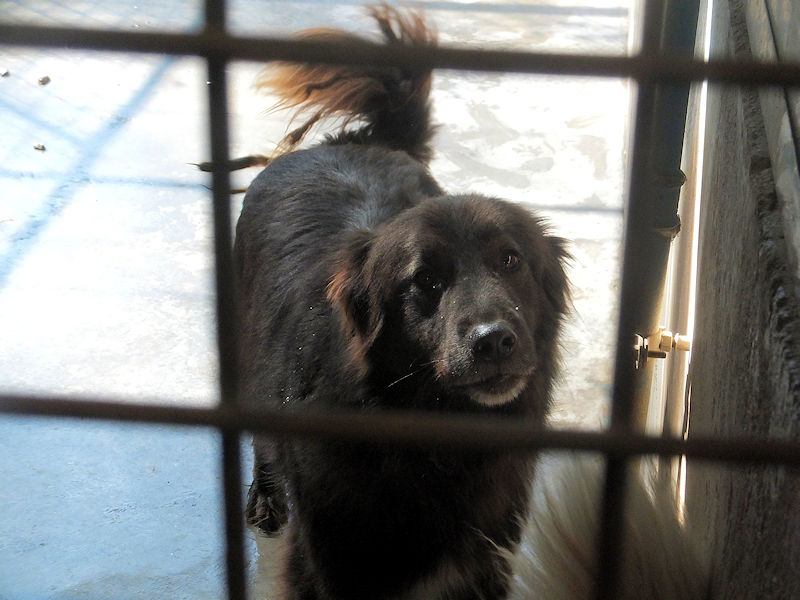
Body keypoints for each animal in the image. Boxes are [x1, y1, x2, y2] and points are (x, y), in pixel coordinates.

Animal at [234, 5, 569, 599]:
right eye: (424, 280)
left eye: (510, 260)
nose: (494, 341)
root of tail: (347, 141)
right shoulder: (334, 562)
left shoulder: (489, 556)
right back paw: (266, 496)